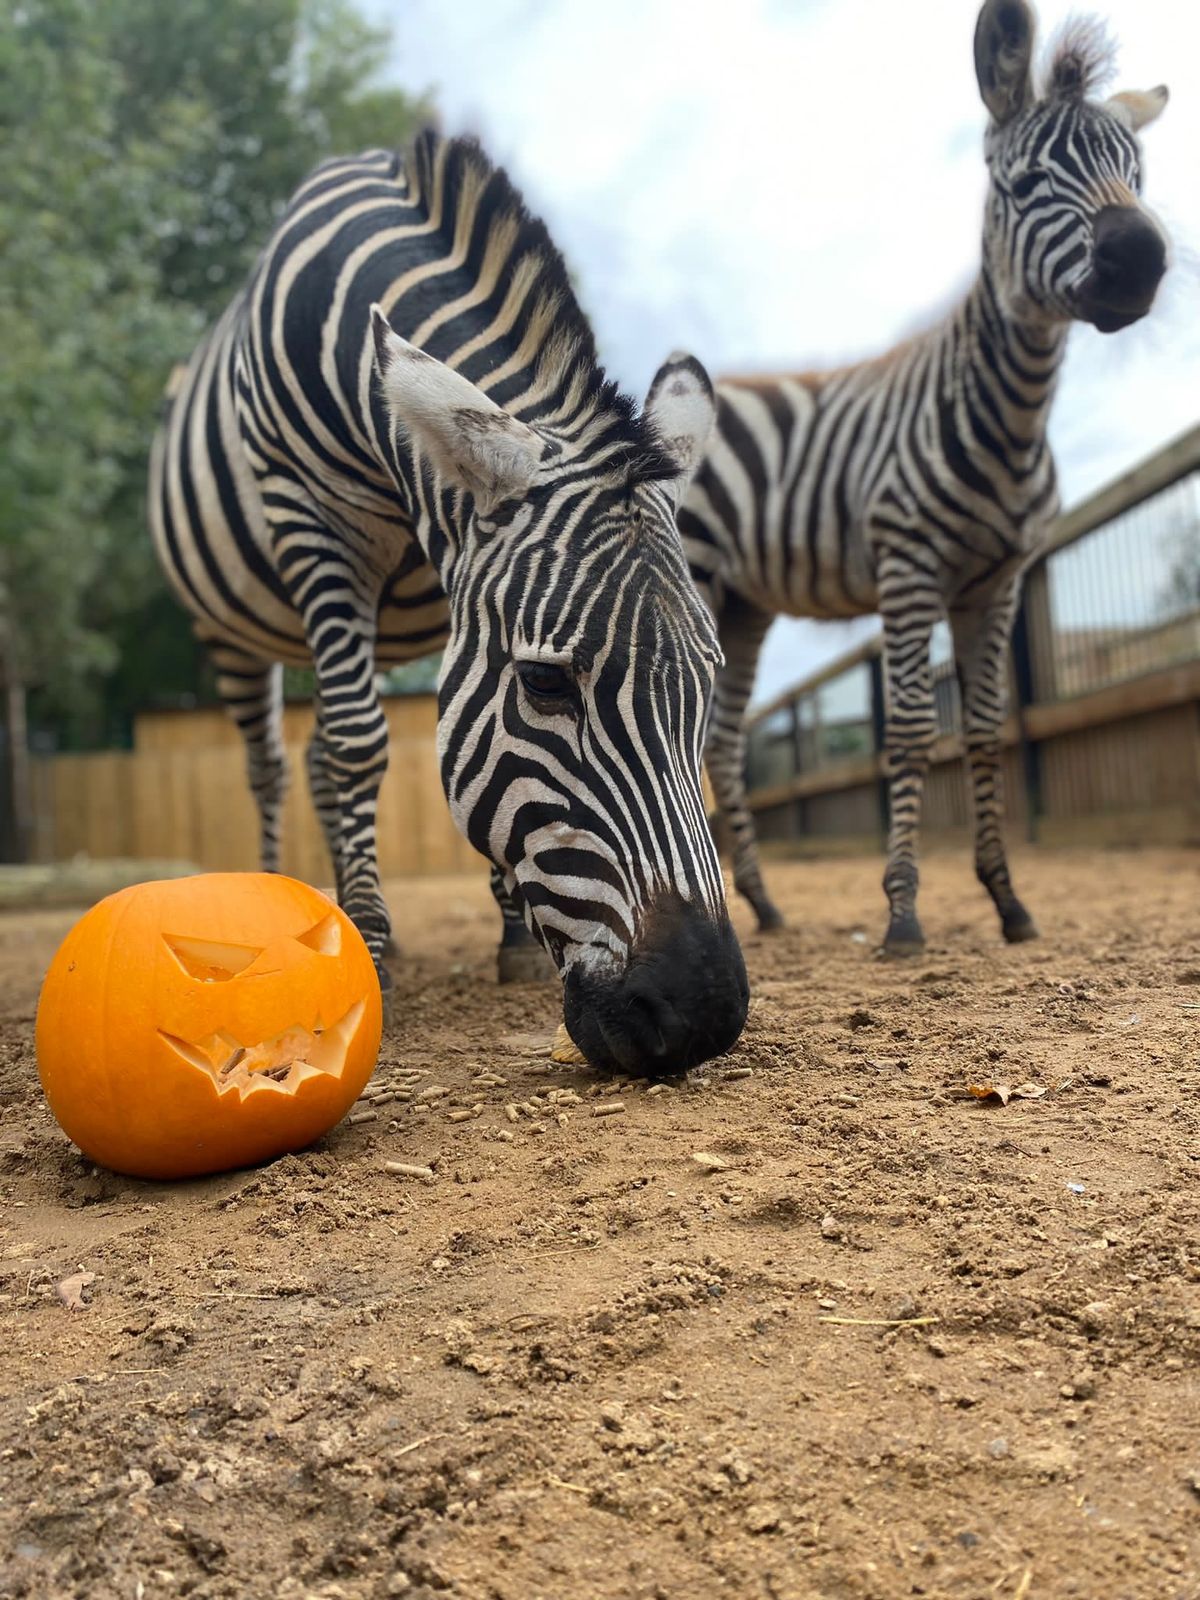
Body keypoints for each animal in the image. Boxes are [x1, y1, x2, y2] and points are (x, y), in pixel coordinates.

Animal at [150, 128, 752, 1075]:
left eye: (707, 682)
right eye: (545, 684)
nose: (704, 1012)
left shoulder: (453, 575)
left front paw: (503, 932)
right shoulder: (317, 528)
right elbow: (363, 744)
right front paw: (367, 948)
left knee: (314, 754)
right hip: (232, 631)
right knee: (275, 764)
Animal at [684, 0, 1177, 947]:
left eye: (1137, 174)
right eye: (1023, 185)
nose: (1141, 258)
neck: (1013, 418)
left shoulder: (997, 581)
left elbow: (984, 727)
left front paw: (1008, 901)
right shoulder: (909, 568)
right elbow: (913, 728)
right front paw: (904, 911)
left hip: (745, 600)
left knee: (721, 744)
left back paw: (763, 906)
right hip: (690, 567)